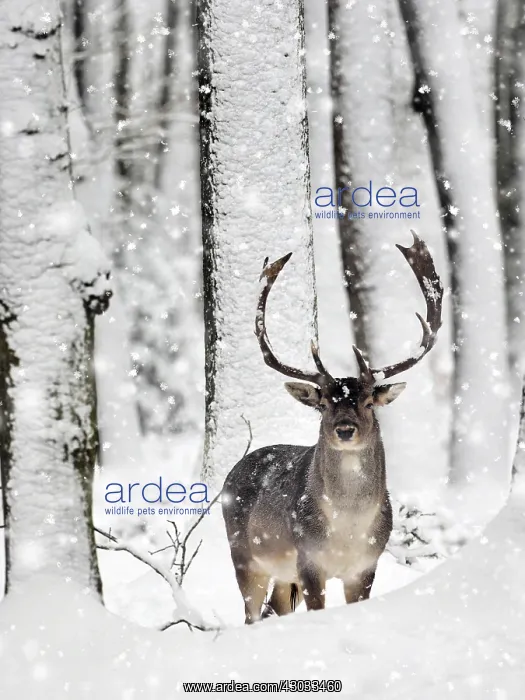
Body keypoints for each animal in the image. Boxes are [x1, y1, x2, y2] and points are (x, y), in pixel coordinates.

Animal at [222, 232, 443, 624]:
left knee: (277, 607)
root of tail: (229, 475)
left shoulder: (366, 565)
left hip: (282, 574)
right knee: (251, 614)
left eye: (369, 402)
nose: (344, 429)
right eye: (323, 404)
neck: (348, 531)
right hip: (244, 556)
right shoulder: (308, 560)